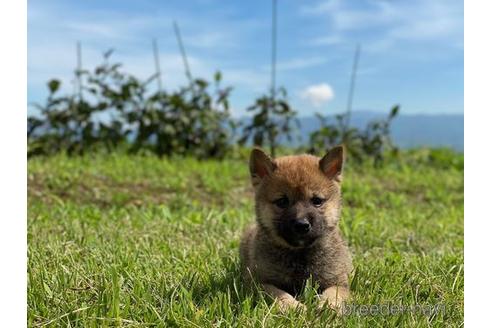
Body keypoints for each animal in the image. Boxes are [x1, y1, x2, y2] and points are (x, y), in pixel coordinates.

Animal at [239, 147, 352, 312]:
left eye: (317, 201)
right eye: (282, 202)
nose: (302, 225)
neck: (300, 255)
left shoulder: (338, 282)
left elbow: (333, 293)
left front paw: (328, 307)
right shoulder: (257, 282)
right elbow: (278, 294)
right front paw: (295, 308)